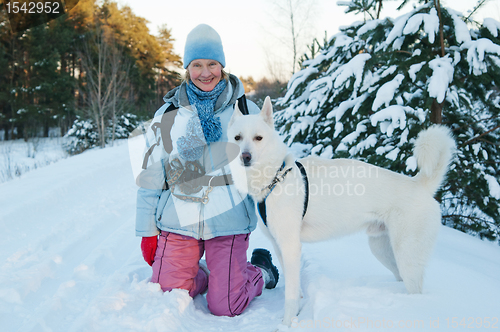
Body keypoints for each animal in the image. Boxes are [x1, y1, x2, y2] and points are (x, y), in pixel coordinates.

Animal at [229, 96, 456, 326]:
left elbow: (290, 293)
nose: (244, 156)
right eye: (237, 138)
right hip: (383, 251)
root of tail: (420, 185)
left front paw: (286, 323)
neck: (277, 177)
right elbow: (296, 288)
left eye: (258, 138)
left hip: (407, 257)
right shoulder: (279, 246)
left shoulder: (290, 246)